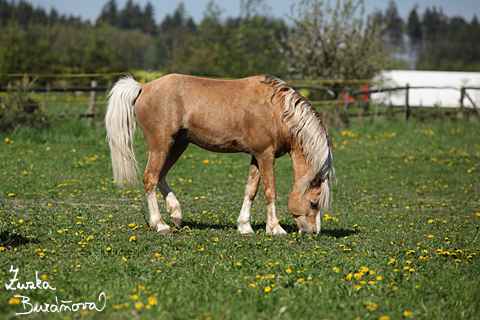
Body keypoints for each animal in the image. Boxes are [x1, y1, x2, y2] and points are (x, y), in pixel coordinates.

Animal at [107, 74, 336, 235]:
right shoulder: (266, 155)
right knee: (150, 179)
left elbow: (251, 190)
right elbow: (270, 191)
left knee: (160, 176)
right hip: (160, 145)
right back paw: (160, 224)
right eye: (313, 203)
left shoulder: (256, 156)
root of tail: (144, 87)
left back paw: (176, 214)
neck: (277, 111)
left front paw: (244, 226)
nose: (313, 232)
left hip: (177, 145)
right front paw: (275, 228)